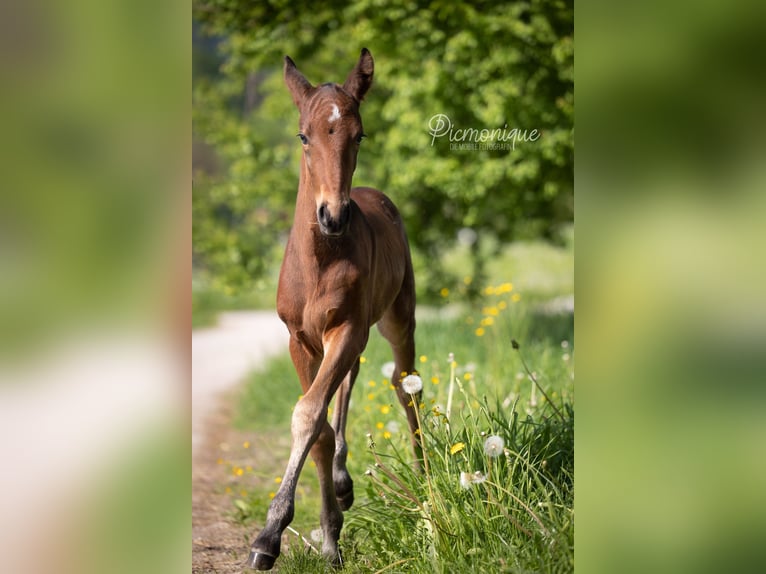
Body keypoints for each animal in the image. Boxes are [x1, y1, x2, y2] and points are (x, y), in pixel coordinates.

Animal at [249, 49, 420, 572]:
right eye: (303, 136)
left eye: (358, 134)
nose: (333, 215)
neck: (320, 260)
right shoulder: (300, 340)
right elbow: (319, 427)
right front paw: (327, 536)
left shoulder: (346, 329)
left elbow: (309, 414)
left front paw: (269, 534)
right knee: (349, 385)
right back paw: (343, 486)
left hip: (397, 319)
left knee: (406, 386)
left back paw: (426, 479)